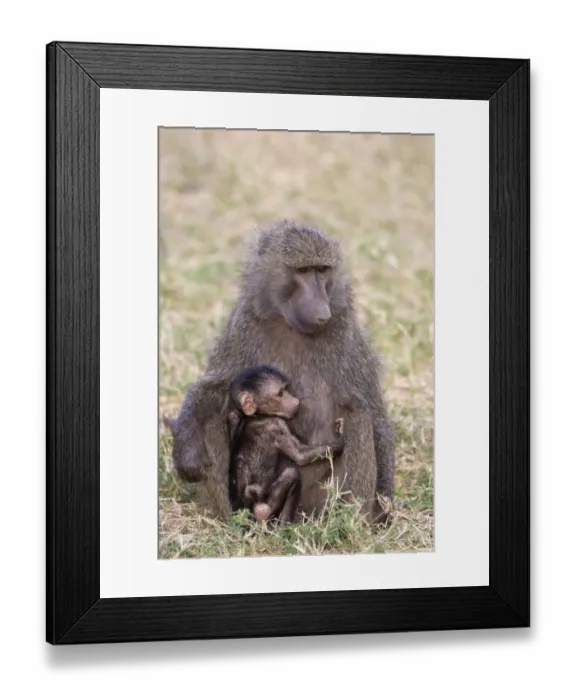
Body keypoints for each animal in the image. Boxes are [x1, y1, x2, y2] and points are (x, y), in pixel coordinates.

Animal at [226, 365, 346, 523]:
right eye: (280, 393)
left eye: (286, 389)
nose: (295, 401)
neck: (255, 415)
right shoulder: (276, 425)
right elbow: (300, 455)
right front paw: (340, 437)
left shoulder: (233, 417)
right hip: (266, 507)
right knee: (292, 473)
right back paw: (285, 523)